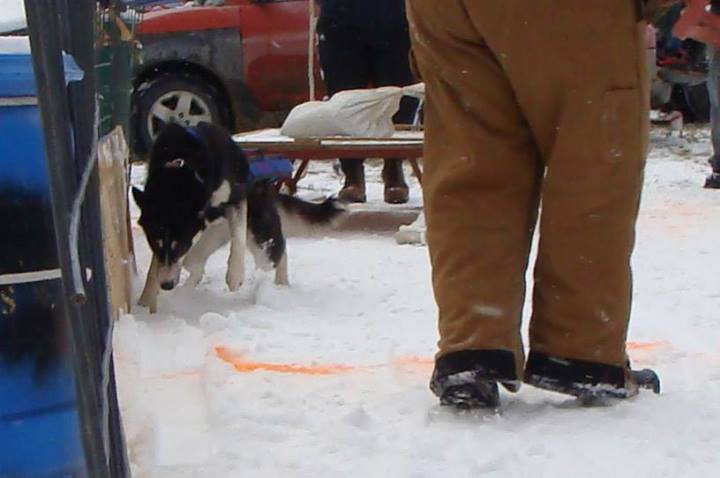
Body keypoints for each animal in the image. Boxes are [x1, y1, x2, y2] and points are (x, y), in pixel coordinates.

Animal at [133, 121, 346, 312]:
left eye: (181, 244)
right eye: (154, 243)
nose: (166, 285)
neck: (181, 165)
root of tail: (265, 188)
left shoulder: (236, 201)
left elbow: (238, 238)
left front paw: (234, 276)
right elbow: (155, 268)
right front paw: (146, 302)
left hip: (259, 241)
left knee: (278, 251)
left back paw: (281, 286)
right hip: (215, 234)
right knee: (195, 263)